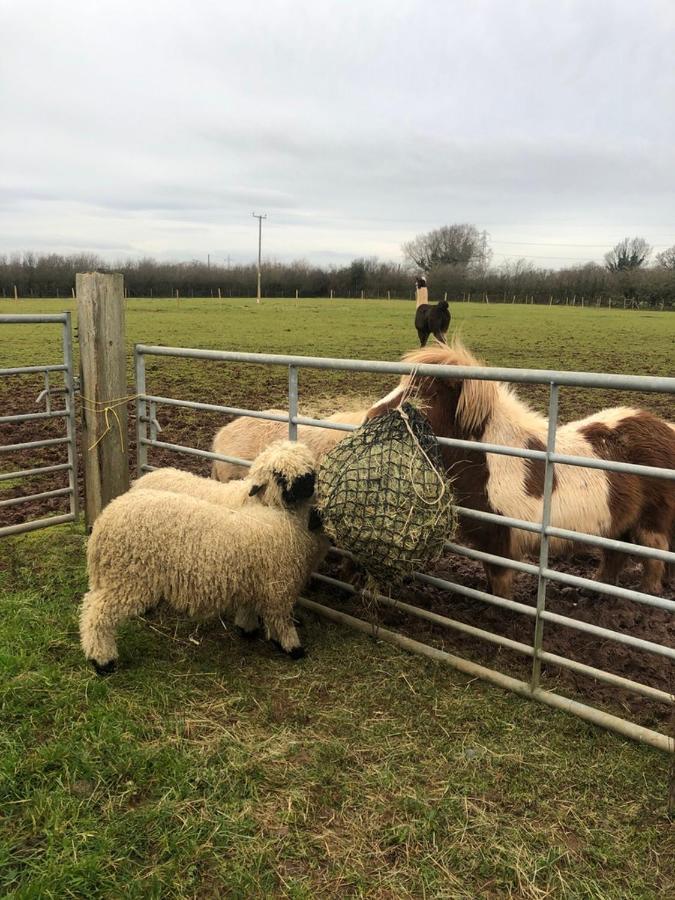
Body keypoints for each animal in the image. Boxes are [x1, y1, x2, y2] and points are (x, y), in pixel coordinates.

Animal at [79, 486, 328, 676]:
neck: (291, 523)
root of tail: (103, 522)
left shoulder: (255, 582)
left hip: (112, 578)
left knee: (90, 604)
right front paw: (293, 648)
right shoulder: (279, 587)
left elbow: (251, 609)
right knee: (98, 616)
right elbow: (281, 621)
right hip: (128, 579)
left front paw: (248, 629)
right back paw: (103, 661)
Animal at [370, 338, 675, 596]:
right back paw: (596, 590)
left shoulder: (500, 538)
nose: (370, 415)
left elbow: (501, 583)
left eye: (422, 394)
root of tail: (665, 429)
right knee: (616, 553)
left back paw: (648, 593)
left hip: (652, 521)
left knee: (655, 552)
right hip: (619, 523)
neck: (490, 461)